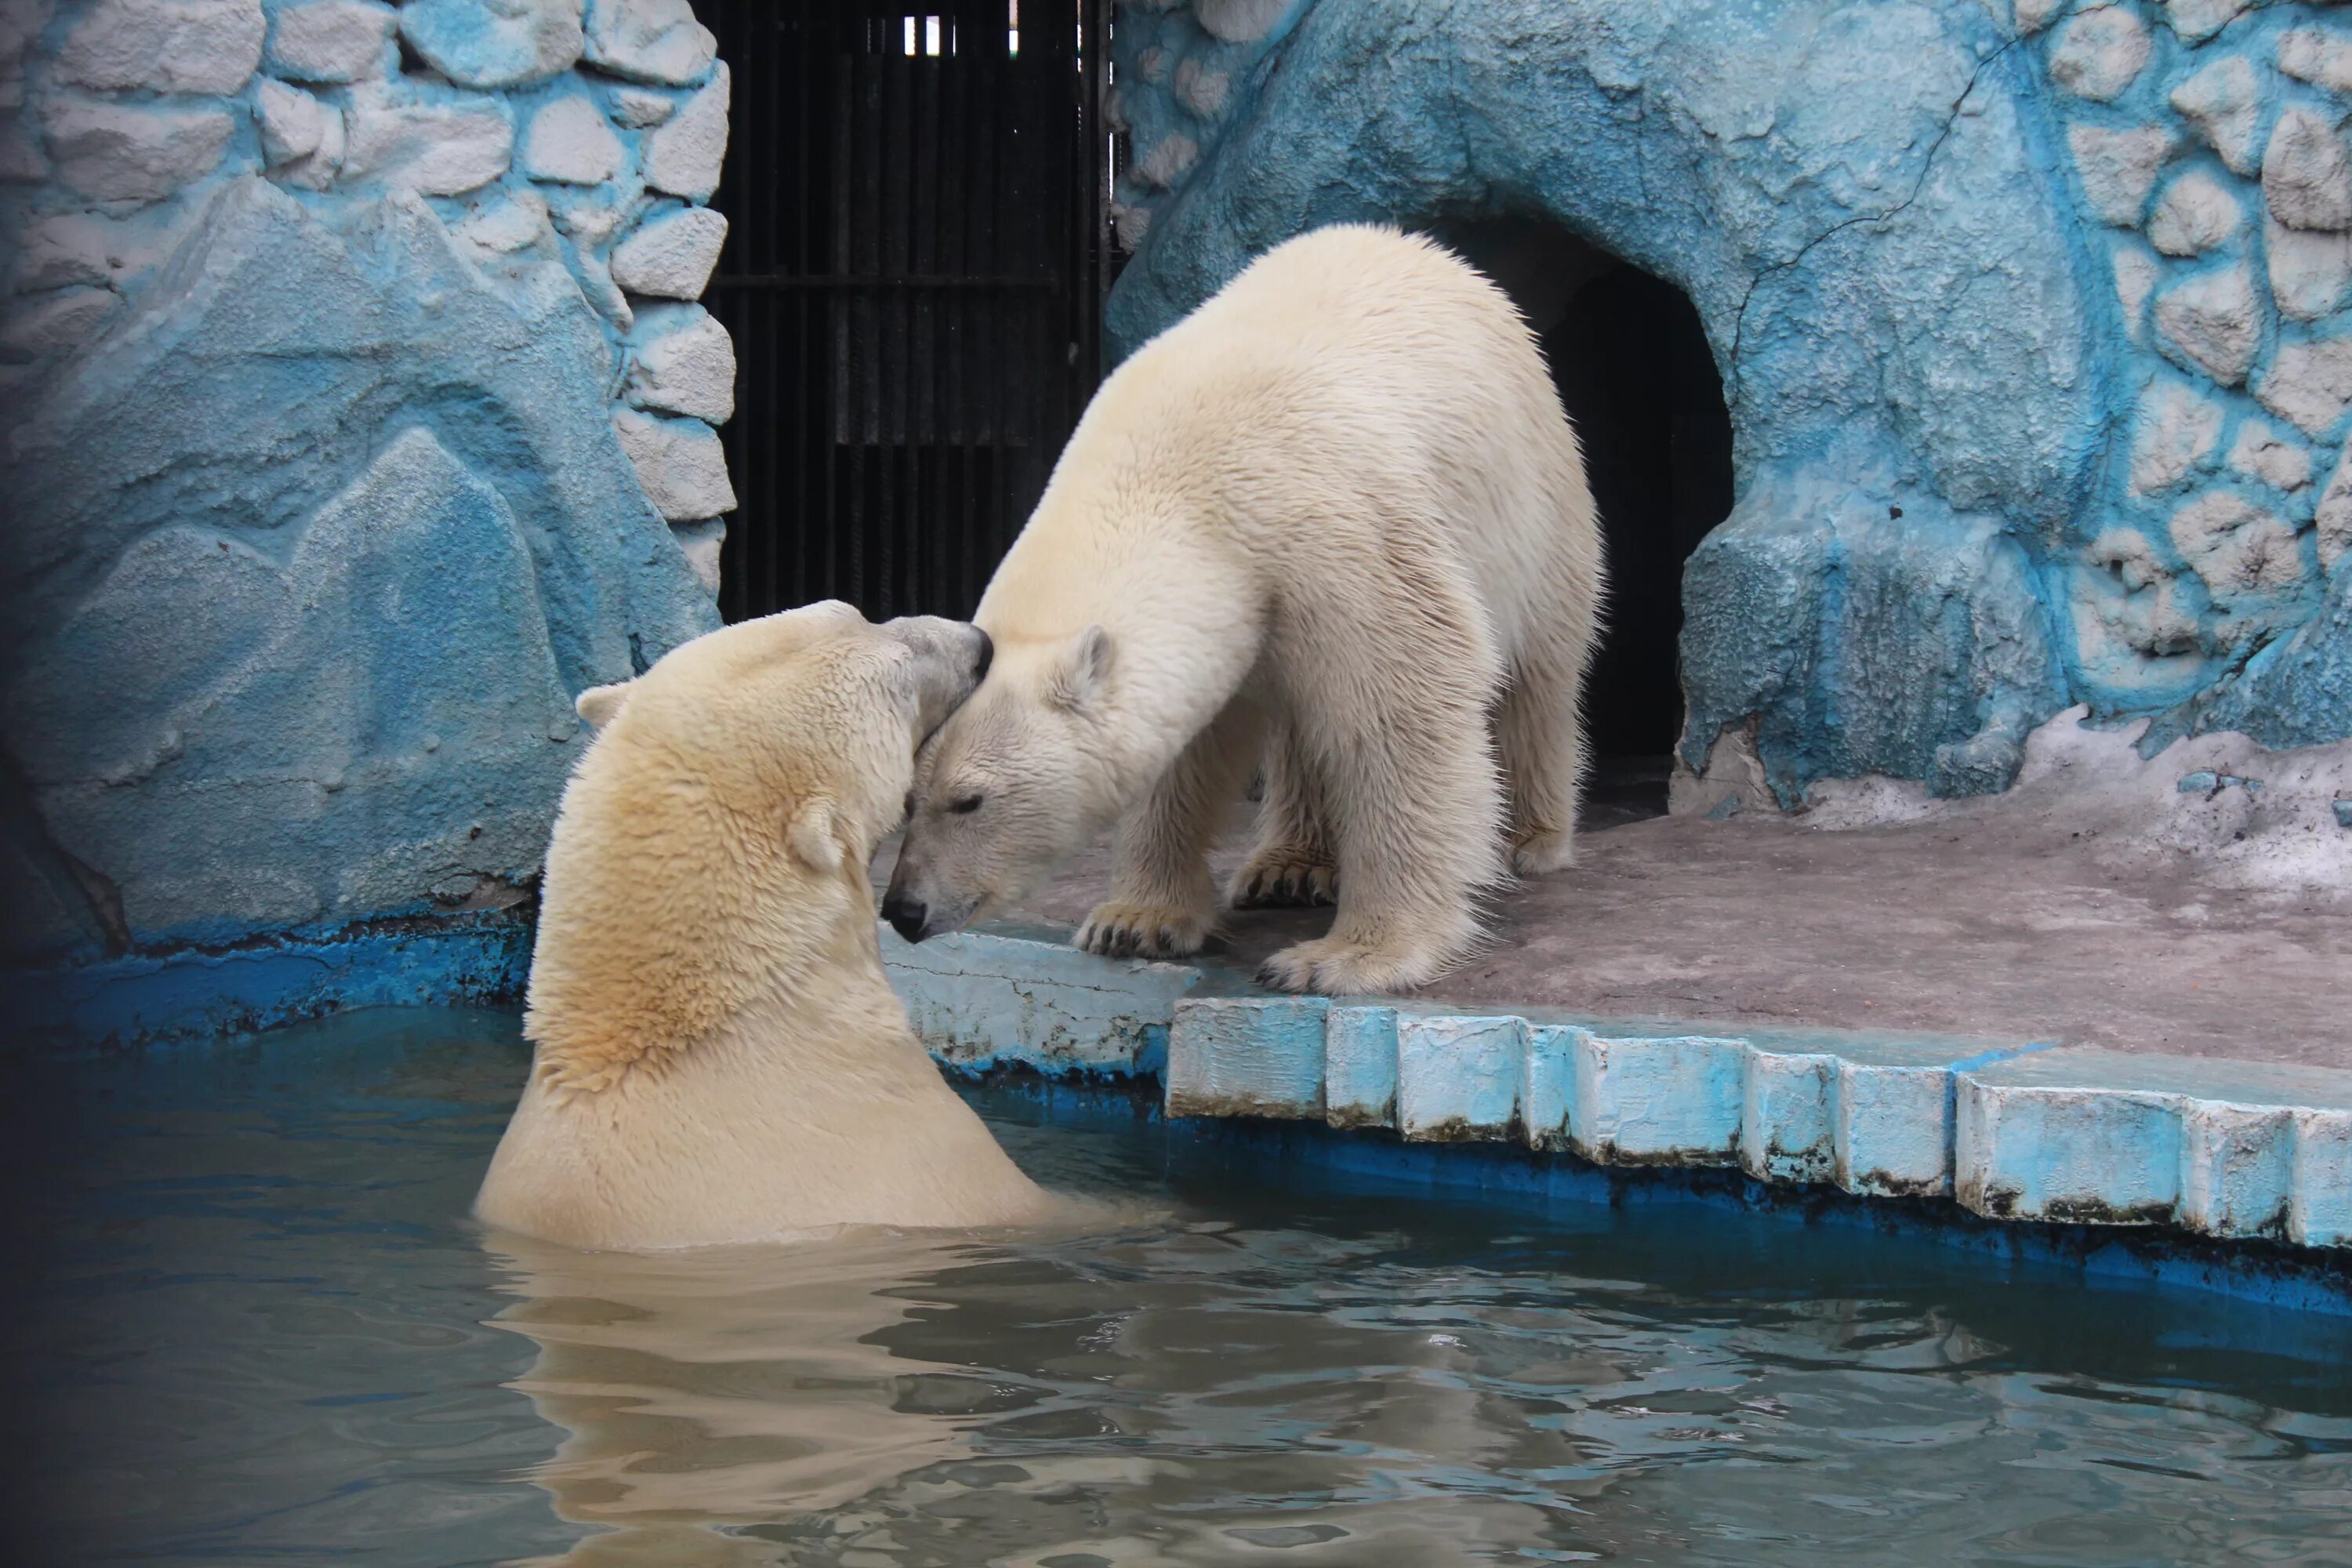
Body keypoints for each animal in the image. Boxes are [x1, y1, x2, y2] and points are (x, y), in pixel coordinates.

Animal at [884, 223, 1599, 992]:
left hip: (1534, 497)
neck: (1175, 482)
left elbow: (1403, 707)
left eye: (970, 799)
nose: (904, 910)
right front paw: (1134, 920)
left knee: (1538, 671)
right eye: (909, 796)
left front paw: (1348, 956)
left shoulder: (1337, 534)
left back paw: (1529, 838)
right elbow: (1185, 748)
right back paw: (1290, 866)